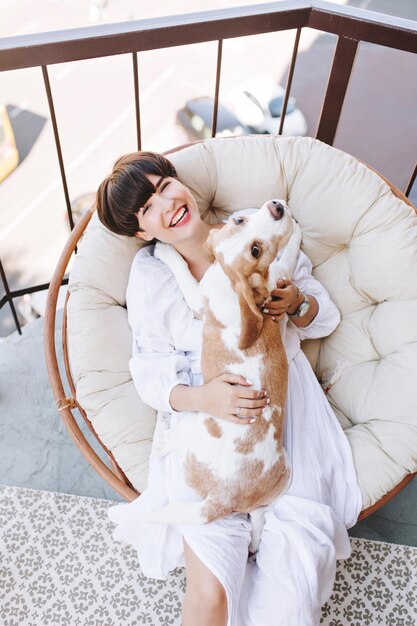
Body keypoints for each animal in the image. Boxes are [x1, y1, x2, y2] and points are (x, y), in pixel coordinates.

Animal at [148, 200, 300, 552]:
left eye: (256, 248)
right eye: (240, 222)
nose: (277, 207)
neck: (232, 283)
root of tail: (224, 497)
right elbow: (289, 257)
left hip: (195, 425)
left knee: (168, 442)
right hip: (283, 476)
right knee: (258, 516)